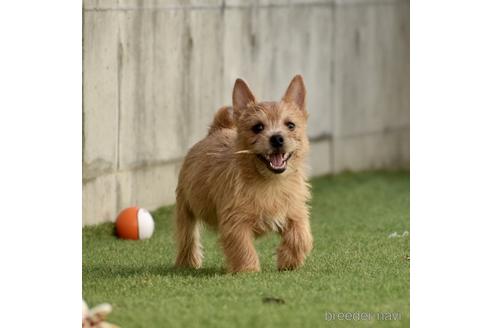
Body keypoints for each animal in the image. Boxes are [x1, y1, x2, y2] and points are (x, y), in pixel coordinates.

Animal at [174, 75, 312, 272]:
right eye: (258, 127)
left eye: (290, 125)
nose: (277, 138)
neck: (269, 181)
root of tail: (217, 129)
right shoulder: (235, 221)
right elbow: (242, 246)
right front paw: (248, 270)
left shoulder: (296, 211)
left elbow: (301, 236)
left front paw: (289, 260)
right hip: (185, 206)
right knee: (187, 236)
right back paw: (188, 263)